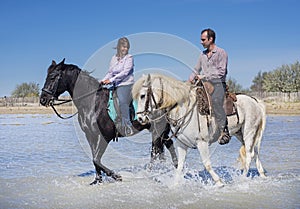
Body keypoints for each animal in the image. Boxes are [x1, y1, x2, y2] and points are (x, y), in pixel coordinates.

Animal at [132, 73, 266, 186]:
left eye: (142, 96)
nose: (140, 118)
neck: (183, 109)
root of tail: (255, 101)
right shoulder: (181, 144)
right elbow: (179, 165)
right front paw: (175, 184)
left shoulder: (202, 142)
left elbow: (206, 164)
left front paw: (219, 182)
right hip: (241, 134)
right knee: (255, 152)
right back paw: (262, 174)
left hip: (249, 132)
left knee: (249, 155)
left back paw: (242, 179)